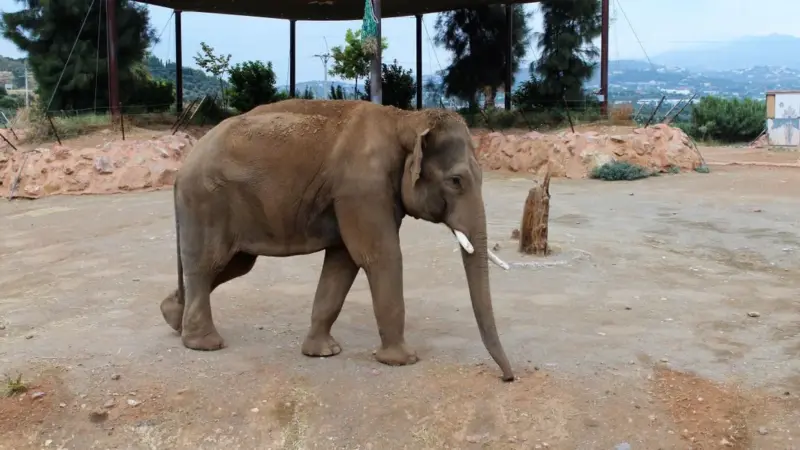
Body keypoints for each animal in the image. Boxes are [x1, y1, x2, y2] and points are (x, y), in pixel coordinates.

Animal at [159, 99, 515, 381]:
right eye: (456, 181)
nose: (507, 378)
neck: (406, 119)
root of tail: (183, 166)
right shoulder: (363, 188)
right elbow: (379, 256)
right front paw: (404, 360)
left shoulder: (355, 196)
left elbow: (342, 263)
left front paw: (323, 352)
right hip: (207, 202)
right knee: (208, 264)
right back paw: (205, 343)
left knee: (232, 265)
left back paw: (172, 317)